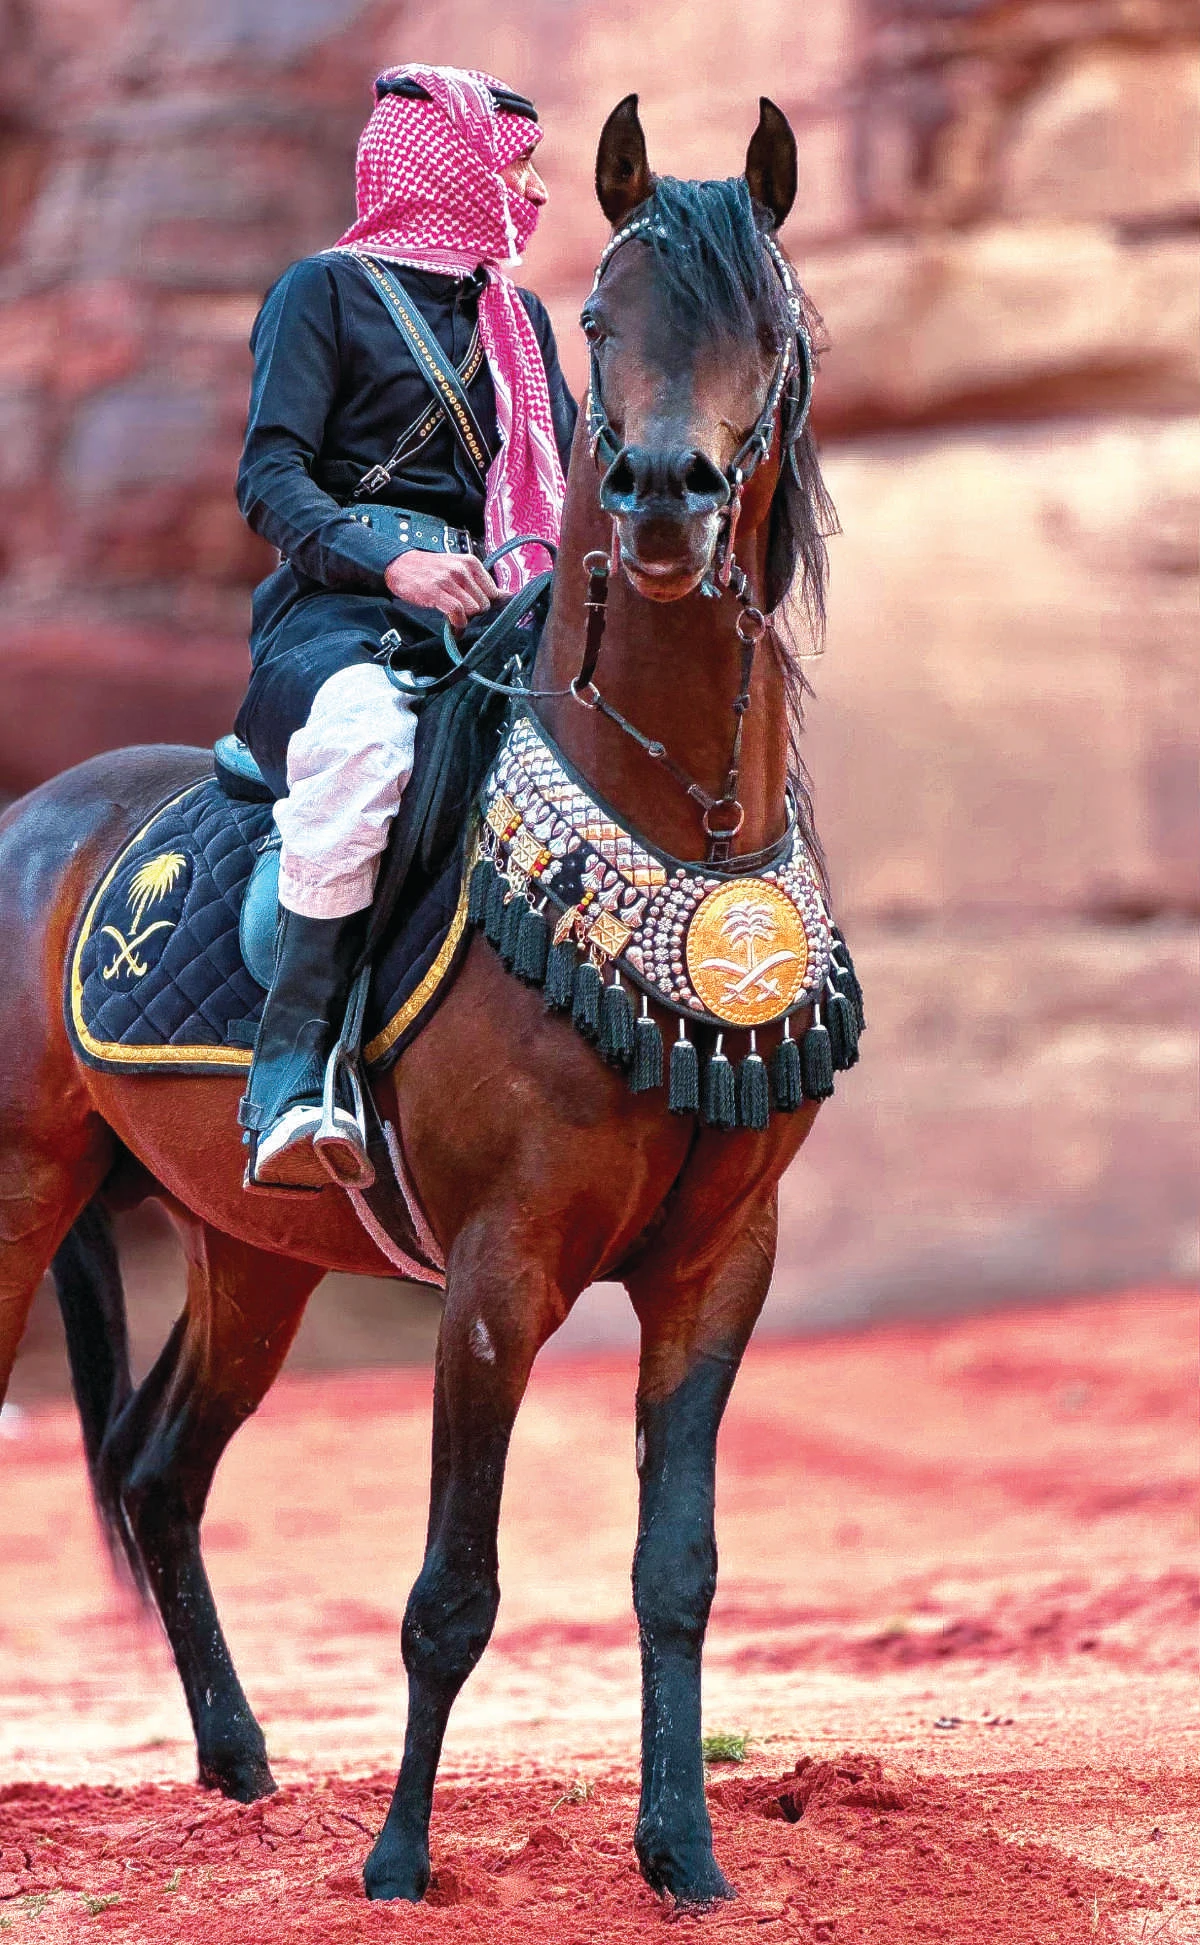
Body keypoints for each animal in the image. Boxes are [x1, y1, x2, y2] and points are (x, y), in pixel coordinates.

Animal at [0, 95, 841, 1906]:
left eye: (772, 323)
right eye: (596, 321)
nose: (660, 495)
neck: (675, 823)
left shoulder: (718, 1263)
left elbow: (678, 1568)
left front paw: (683, 1853)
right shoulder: (496, 1269)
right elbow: (453, 1590)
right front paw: (396, 1861)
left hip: (250, 1252)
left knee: (158, 1475)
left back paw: (240, 1767)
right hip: (22, 1196)